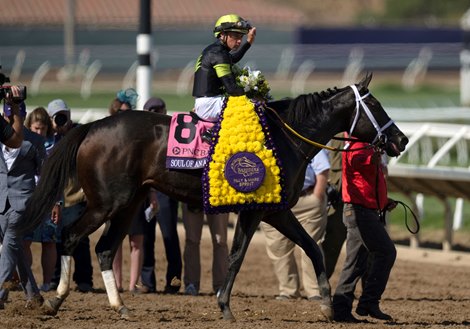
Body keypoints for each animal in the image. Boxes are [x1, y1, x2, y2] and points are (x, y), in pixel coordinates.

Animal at [19, 73, 408, 320]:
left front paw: (327, 306)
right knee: (70, 237)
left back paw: (120, 307)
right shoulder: (258, 211)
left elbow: (311, 248)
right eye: (375, 104)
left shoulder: (275, 211)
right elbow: (237, 256)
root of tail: (90, 127)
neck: (284, 136)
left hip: (129, 203)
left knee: (102, 249)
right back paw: (55, 300)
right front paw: (225, 306)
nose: (401, 140)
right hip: (107, 203)